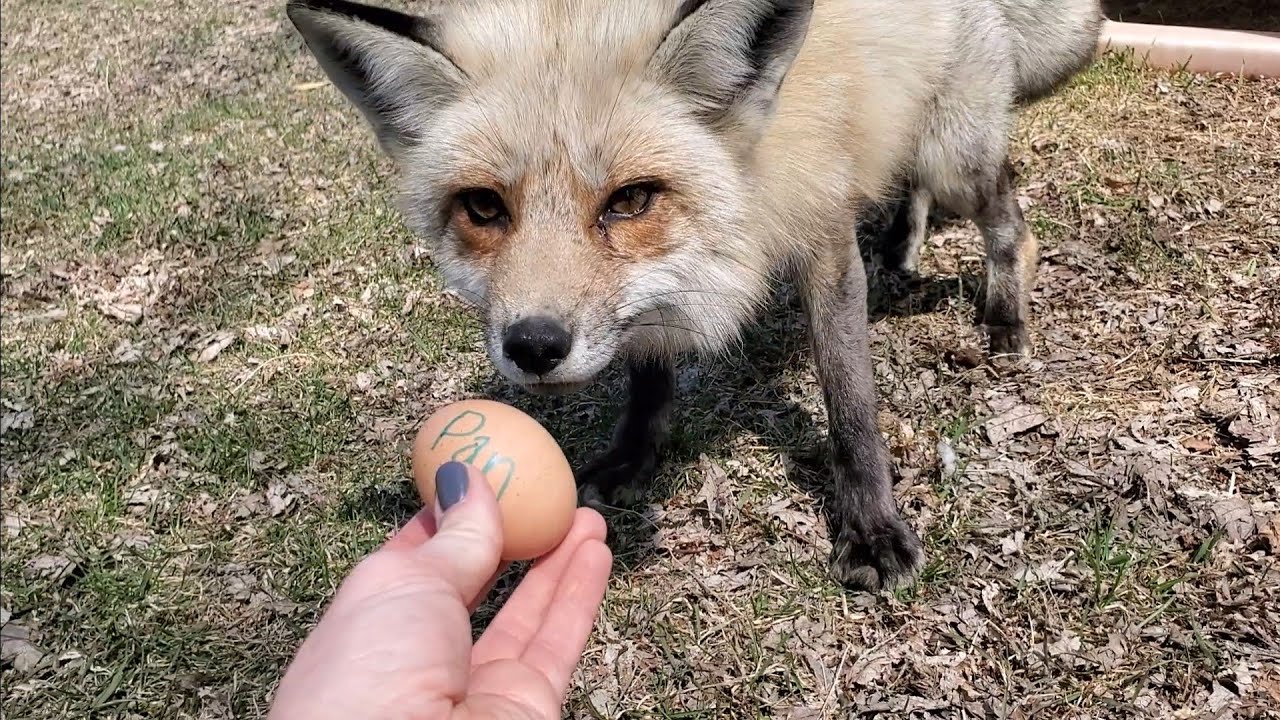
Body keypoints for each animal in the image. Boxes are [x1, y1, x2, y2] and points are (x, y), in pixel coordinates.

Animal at [286, 0, 1102, 591]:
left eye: (630, 201)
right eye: (483, 208)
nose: (534, 346)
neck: (752, 167)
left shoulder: (823, 236)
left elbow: (851, 403)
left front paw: (871, 526)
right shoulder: (653, 300)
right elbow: (648, 373)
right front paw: (632, 455)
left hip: (951, 150)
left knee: (1010, 222)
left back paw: (1004, 316)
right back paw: (904, 247)